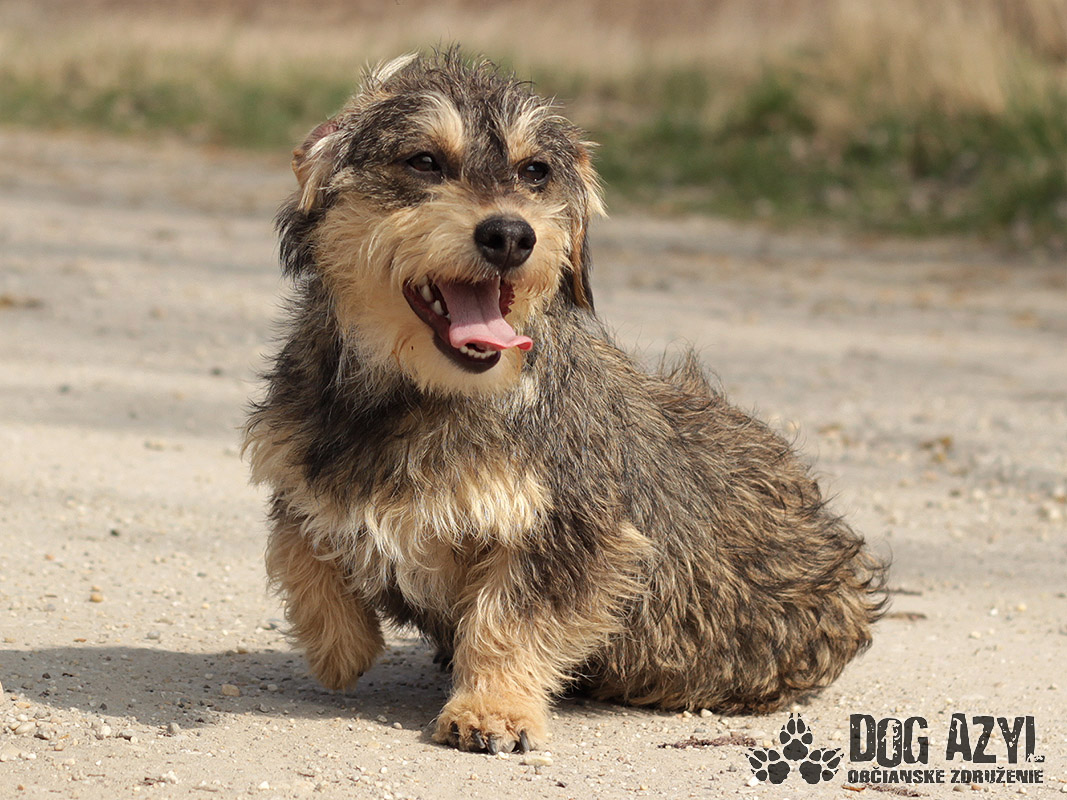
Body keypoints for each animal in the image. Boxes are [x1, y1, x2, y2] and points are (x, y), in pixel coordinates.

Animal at [244, 49, 886, 755]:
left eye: (535, 171)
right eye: (424, 161)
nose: (509, 235)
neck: (414, 396)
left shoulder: (573, 533)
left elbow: (508, 620)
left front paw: (492, 708)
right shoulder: (298, 471)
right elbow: (300, 547)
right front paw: (340, 644)